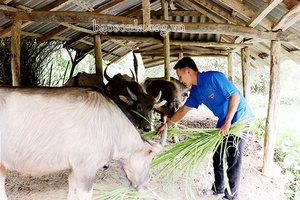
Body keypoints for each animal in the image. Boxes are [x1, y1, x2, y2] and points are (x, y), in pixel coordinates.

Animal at [0, 86, 168, 200]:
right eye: (151, 158)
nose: (145, 187)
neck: (112, 125)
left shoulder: (73, 169)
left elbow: (71, 192)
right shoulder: (86, 169)